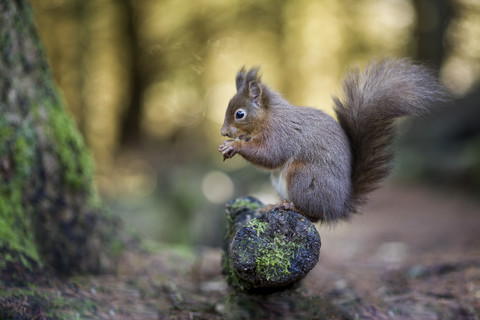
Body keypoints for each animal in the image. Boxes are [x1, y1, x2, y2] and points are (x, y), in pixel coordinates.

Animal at [218, 59, 446, 222]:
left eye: (240, 114)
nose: (223, 132)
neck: (268, 116)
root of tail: (338, 207)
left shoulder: (281, 133)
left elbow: (270, 155)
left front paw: (235, 145)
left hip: (303, 176)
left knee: (313, 213)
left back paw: (290, 205)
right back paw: (272, 205)